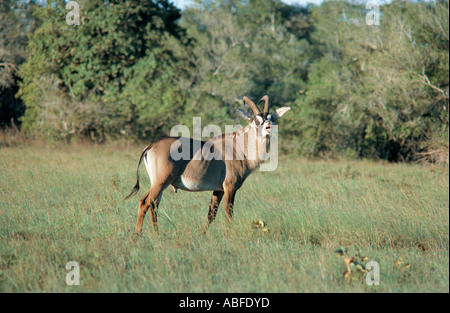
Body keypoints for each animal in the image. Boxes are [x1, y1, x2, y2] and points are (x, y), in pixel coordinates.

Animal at [125, 94, 290, 232]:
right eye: (257, 120)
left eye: (271, 118)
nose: (269, 126)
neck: (240, 147)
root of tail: (150, 146)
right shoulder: (230, 187)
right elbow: (228, 214)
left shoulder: (218, 190)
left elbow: (211, 214)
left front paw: (203, 235)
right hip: (160, 182)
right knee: (145, 203)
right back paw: (137, 236)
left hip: (159, 184)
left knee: (153, 206)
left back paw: (157, 236)